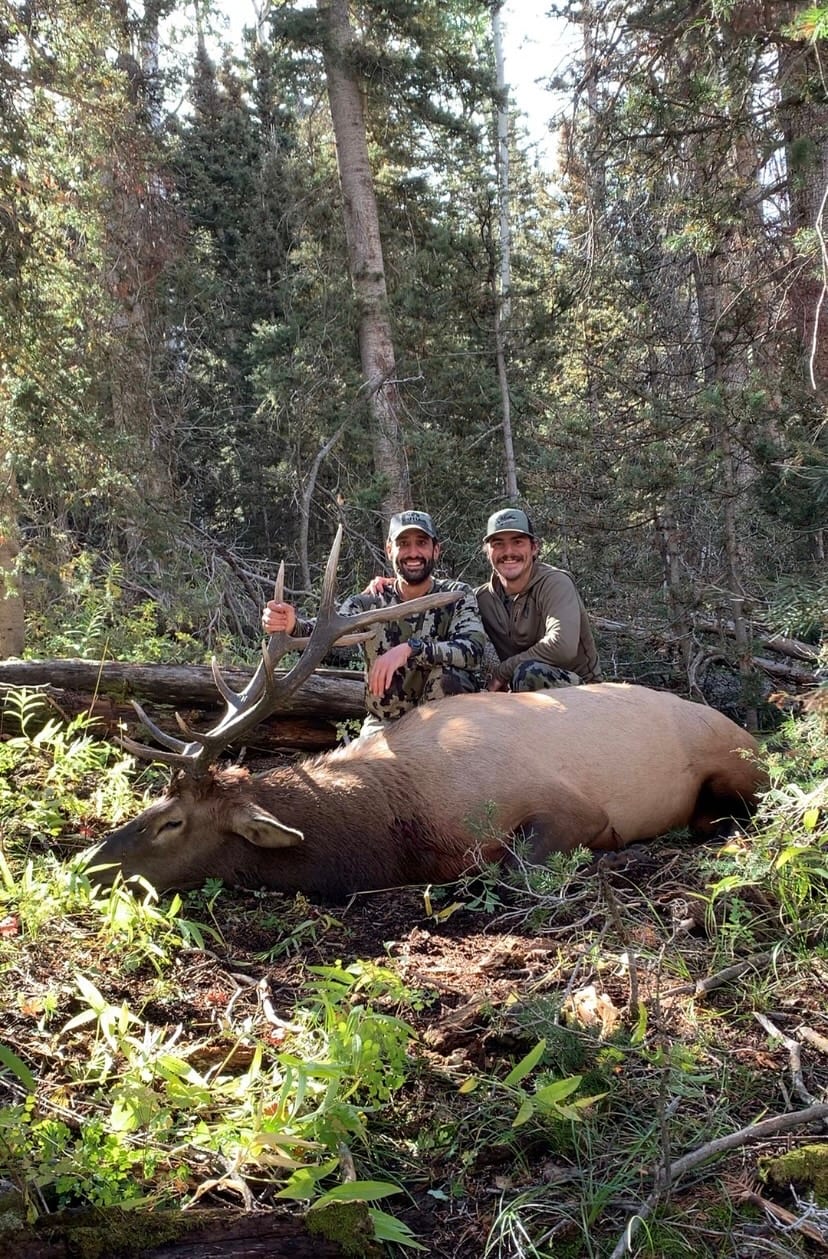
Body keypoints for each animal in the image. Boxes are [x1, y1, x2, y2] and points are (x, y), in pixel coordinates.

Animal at [85, 529, 765, 900]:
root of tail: (746, 731)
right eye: (153, 803)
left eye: (172, 823)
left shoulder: (574, 810)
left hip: (736, 767)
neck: (399, 824)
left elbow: (508, 870)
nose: (88, 862)